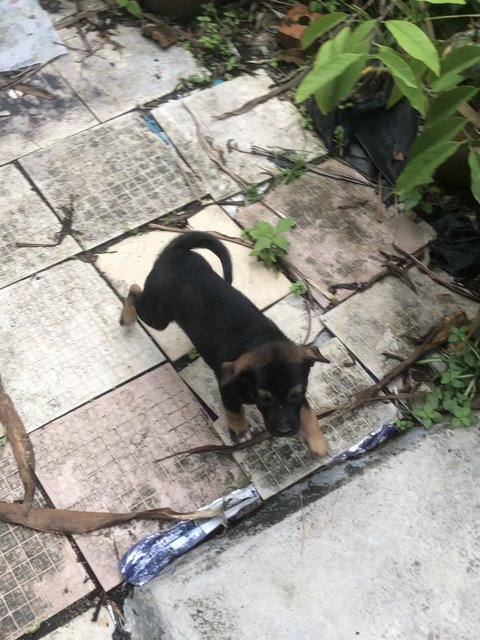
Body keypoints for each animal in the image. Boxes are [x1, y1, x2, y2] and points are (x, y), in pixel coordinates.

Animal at [120, 231, 330, 456]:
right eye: (264, 398)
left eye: (296, 394)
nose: (285, 431)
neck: (261, 340)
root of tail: (174, 253)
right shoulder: (227, 390)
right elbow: (234, 411)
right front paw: (240, 431)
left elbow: (307, 411)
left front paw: (317, 440)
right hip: (157, 315)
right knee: (134, 292)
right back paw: (127, 318)